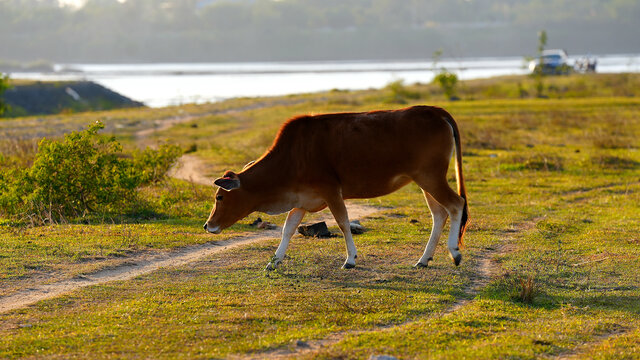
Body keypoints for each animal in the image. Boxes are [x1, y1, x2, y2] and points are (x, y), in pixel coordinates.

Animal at [205, 106, 470, 270]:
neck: (293, 156)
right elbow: (288, 229)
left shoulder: (331, 191)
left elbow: (343, 222)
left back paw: (454, 252)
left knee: (456, 204)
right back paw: (423, 259)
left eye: (219, 197)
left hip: (431, 177)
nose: (208, 225)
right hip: (424, 181)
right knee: (439, 214)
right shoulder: (302, 200)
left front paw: (350, 259)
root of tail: (435, 111)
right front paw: (274, 261)